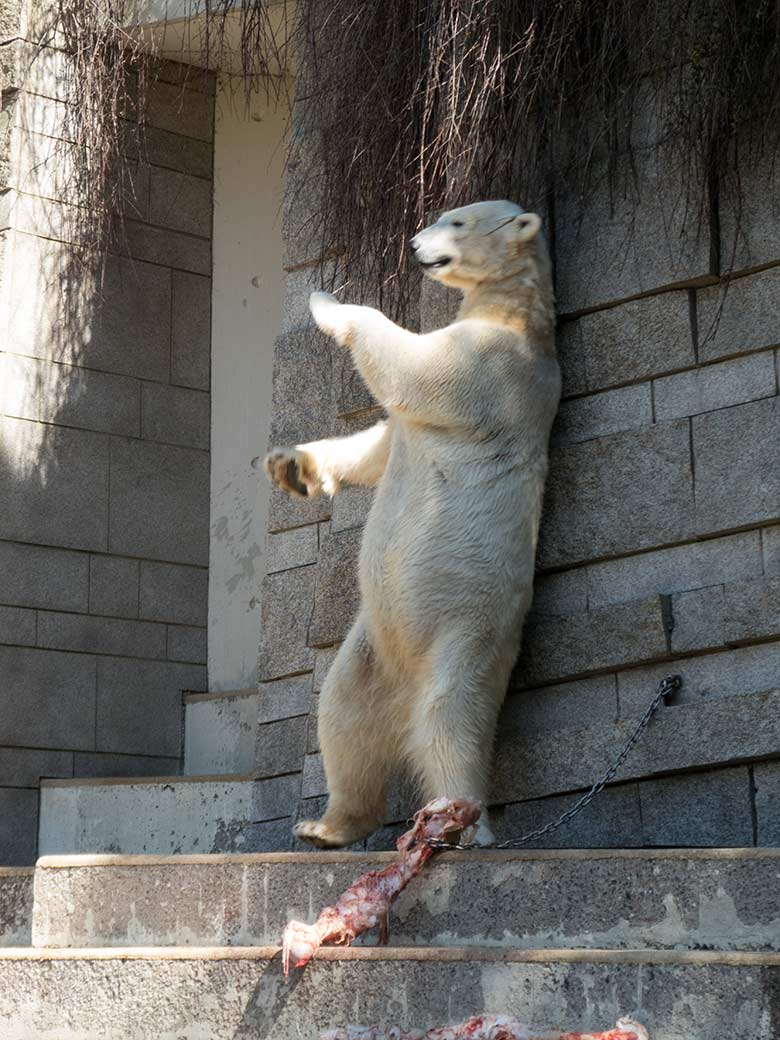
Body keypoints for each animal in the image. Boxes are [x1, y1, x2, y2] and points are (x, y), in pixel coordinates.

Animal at [266, 200, 557, 844]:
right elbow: (381, 444)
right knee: (342, 714)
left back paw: (463, 826)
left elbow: (418, 369)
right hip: (372, 648)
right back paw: (327, 825)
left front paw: (324, 299)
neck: (517, 310)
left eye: (458, 221)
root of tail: (406, 680)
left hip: (469, 631)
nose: (416, 244)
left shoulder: (496, 366)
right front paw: (293, 467)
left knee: (451, 720)